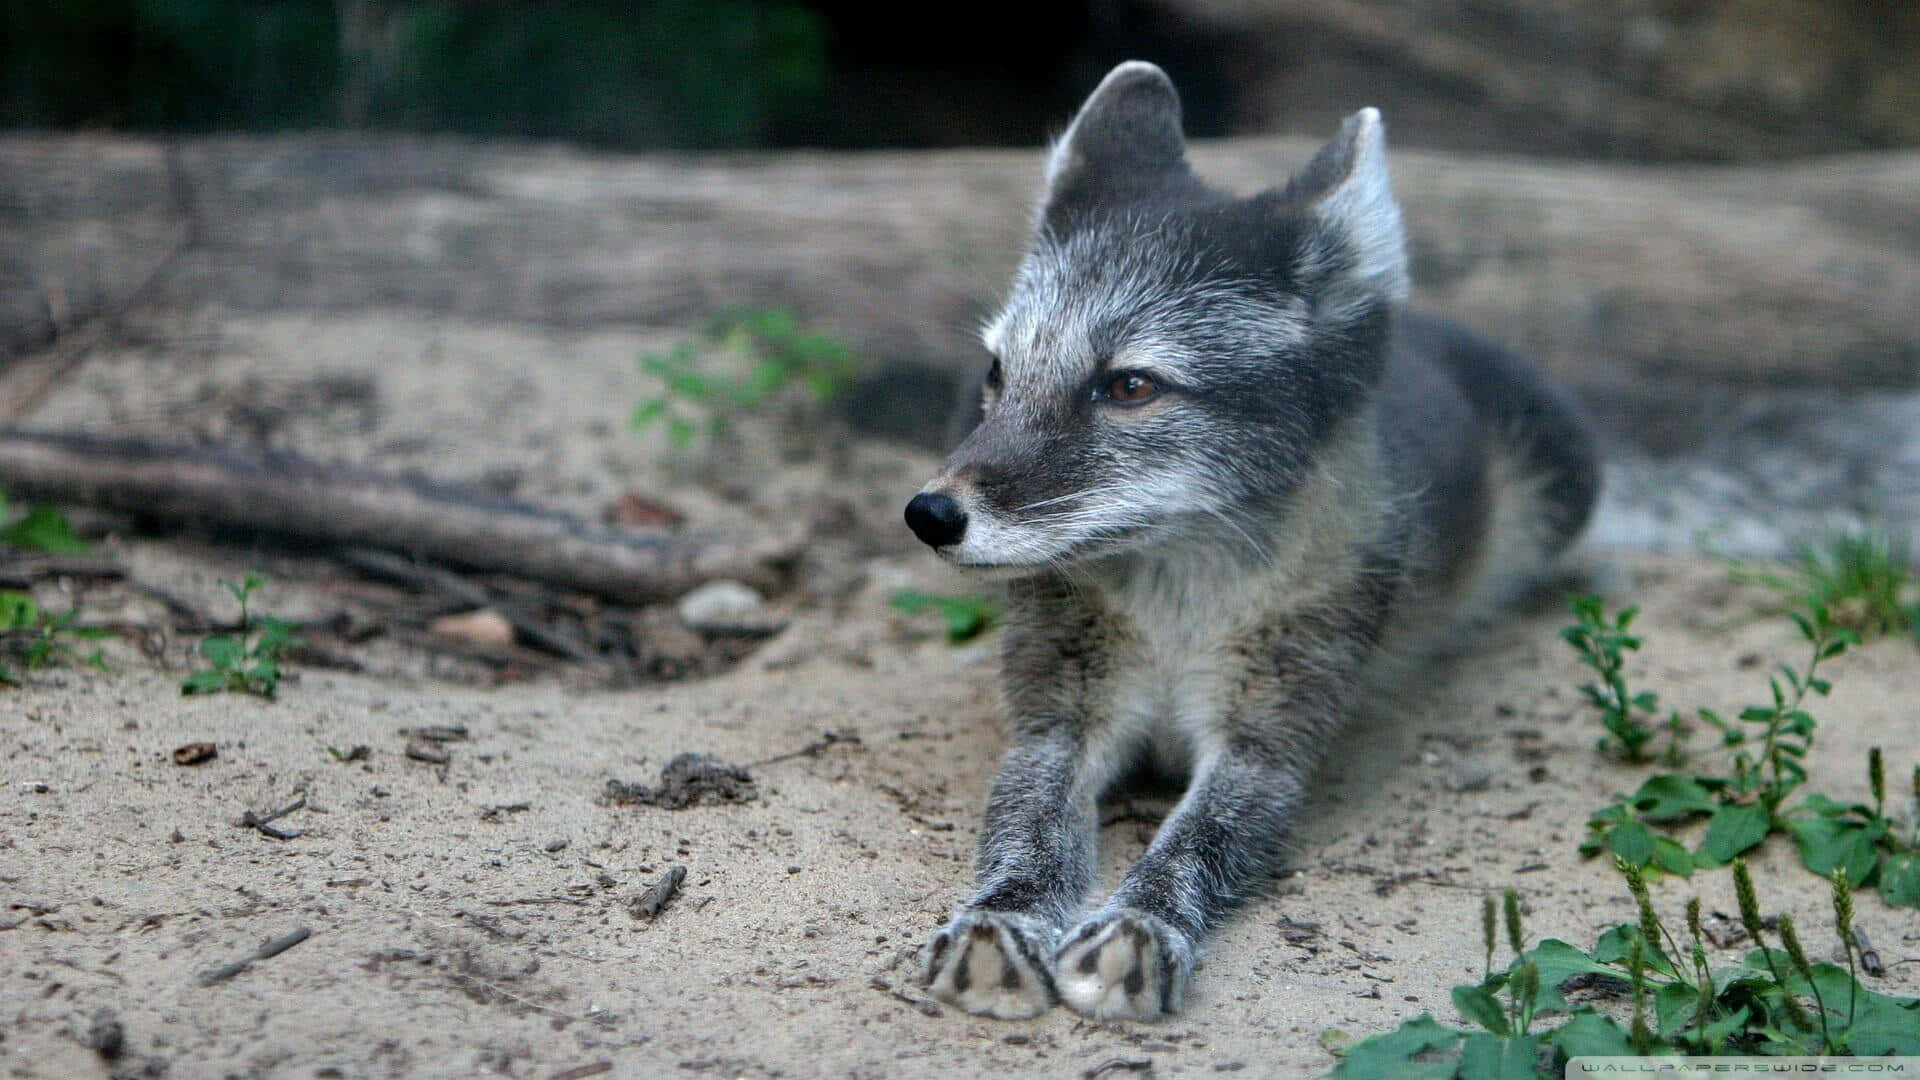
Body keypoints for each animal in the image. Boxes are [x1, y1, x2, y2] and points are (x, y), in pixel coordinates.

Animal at [906, 61, 1597, 1014]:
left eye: (1130, 386)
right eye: (998, 374)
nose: (929, 514)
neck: (1179, 611)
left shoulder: (1270, 745)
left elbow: (1197, 840)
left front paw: (1140, 925)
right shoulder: (1055, 722)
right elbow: (1025, 825)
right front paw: (1001, 918)